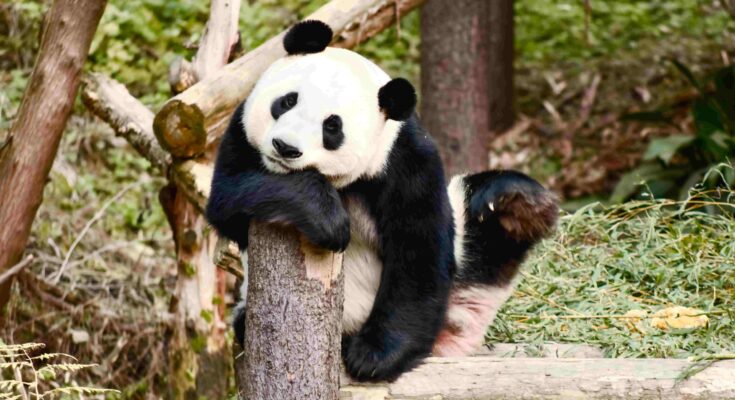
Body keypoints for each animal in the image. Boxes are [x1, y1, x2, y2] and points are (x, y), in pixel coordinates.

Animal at [205, 20, 558, 382]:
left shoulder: (405, 160)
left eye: (332, 127)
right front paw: (327, 220)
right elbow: (229, 197)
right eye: (287, 101)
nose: (285, 147)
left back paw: (517, 206)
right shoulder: (241, 130)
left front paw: (373, 357)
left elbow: (416, 250)